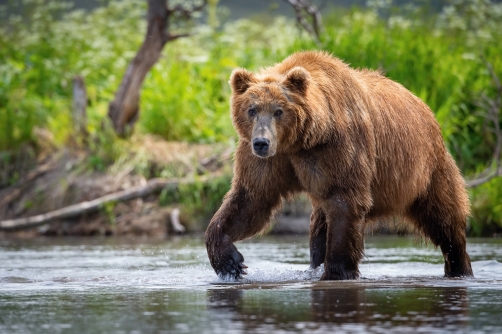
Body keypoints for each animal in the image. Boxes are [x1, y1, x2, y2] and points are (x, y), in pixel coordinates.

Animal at [204, 50, 470, 280]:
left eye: (279, 110)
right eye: (252, 109)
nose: (261, 142)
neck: (302, 140)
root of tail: (424, 106)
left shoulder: (338, 149)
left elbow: (345, 202)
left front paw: (336, 272)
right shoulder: (273, 160)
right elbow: (250, 200)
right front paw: (230, 262)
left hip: (426, 168)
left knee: (444, 217)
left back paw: (460, 267)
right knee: (319, 224)